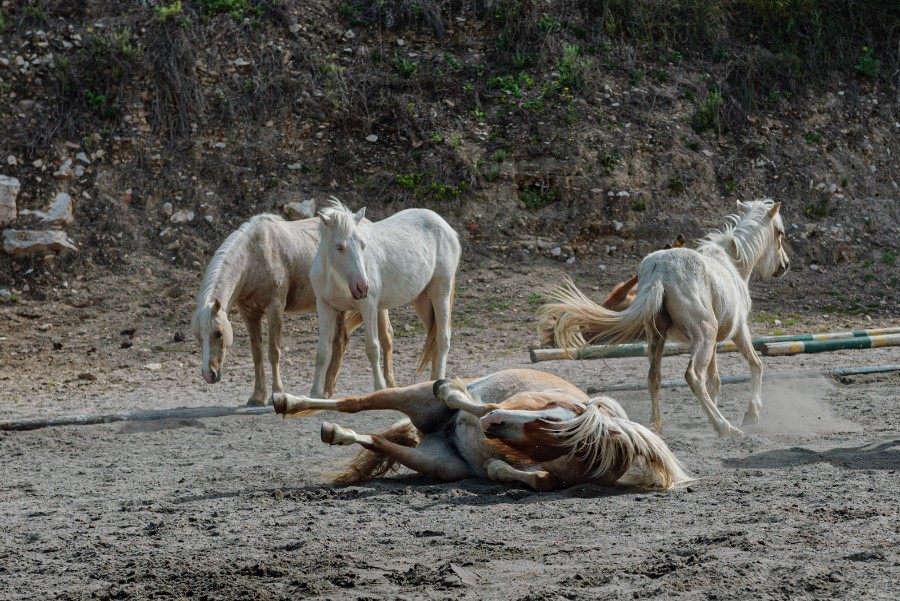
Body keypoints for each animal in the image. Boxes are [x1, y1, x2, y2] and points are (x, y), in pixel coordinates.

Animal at [190, 213, 394, 406]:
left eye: (218, 333)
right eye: (198, 336)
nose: (209, 374)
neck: (253, 255)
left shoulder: (275, 308)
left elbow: (273, 352)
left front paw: (277, 392)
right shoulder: (249, 314)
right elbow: (257, 354)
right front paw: (257, 396)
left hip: (375, 305)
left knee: (386, 338)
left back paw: (389, 386)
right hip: (337, 306)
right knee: (340, 341)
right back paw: (327, 391)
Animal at [270, 368, 692, 490]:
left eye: (553, 443)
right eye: (550, 416)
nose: (492, 428)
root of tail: (436, 434)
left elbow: (541, 480)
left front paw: (499, 470)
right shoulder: (515, 405)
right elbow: (482, 403)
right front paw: (454, 392)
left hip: (439, 465)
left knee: (374, 440)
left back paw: (335, 433)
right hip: (415, 395)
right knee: (354, 402)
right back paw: (287, 402)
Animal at [310, 198, 460, 398]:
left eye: (363, 245)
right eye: (339, 247)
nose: (362, 286)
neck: (336, 277)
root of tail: (446, 227)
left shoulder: (368, 307)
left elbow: (372, 348)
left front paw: (380, 388)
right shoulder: (325, 307)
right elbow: (323, 353)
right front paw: (315, 394)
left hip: (440, 293)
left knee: (443, 339)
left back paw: (440, 381)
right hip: (423, 301)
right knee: (434, 339)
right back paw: (431, 382)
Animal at [540, 199, 788, 438]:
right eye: (780, 232)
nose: (784, 265)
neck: (732, 263)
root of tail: (661, 270)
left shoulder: (716, 342)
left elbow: (715, 380)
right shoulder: (738, 331)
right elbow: (755, 364)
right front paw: (751, 415)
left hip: (657, 337)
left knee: (654, 377)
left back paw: (657, 426)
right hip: (703, 335)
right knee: (693, 377)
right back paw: (725, 427)